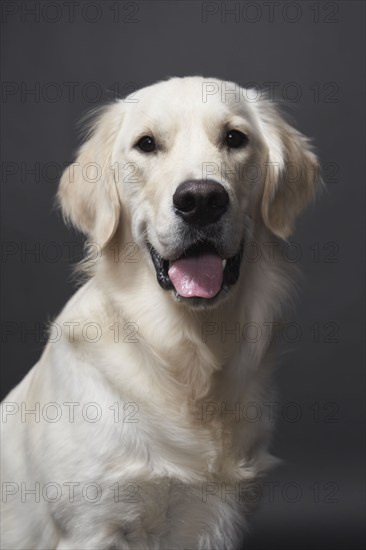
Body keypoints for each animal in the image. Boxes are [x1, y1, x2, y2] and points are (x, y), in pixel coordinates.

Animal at [0, 77, 318, 550]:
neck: (185, 354)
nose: (201, 200)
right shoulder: (92, 526)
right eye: (146, 144)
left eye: (235, 138)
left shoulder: (215, 519)